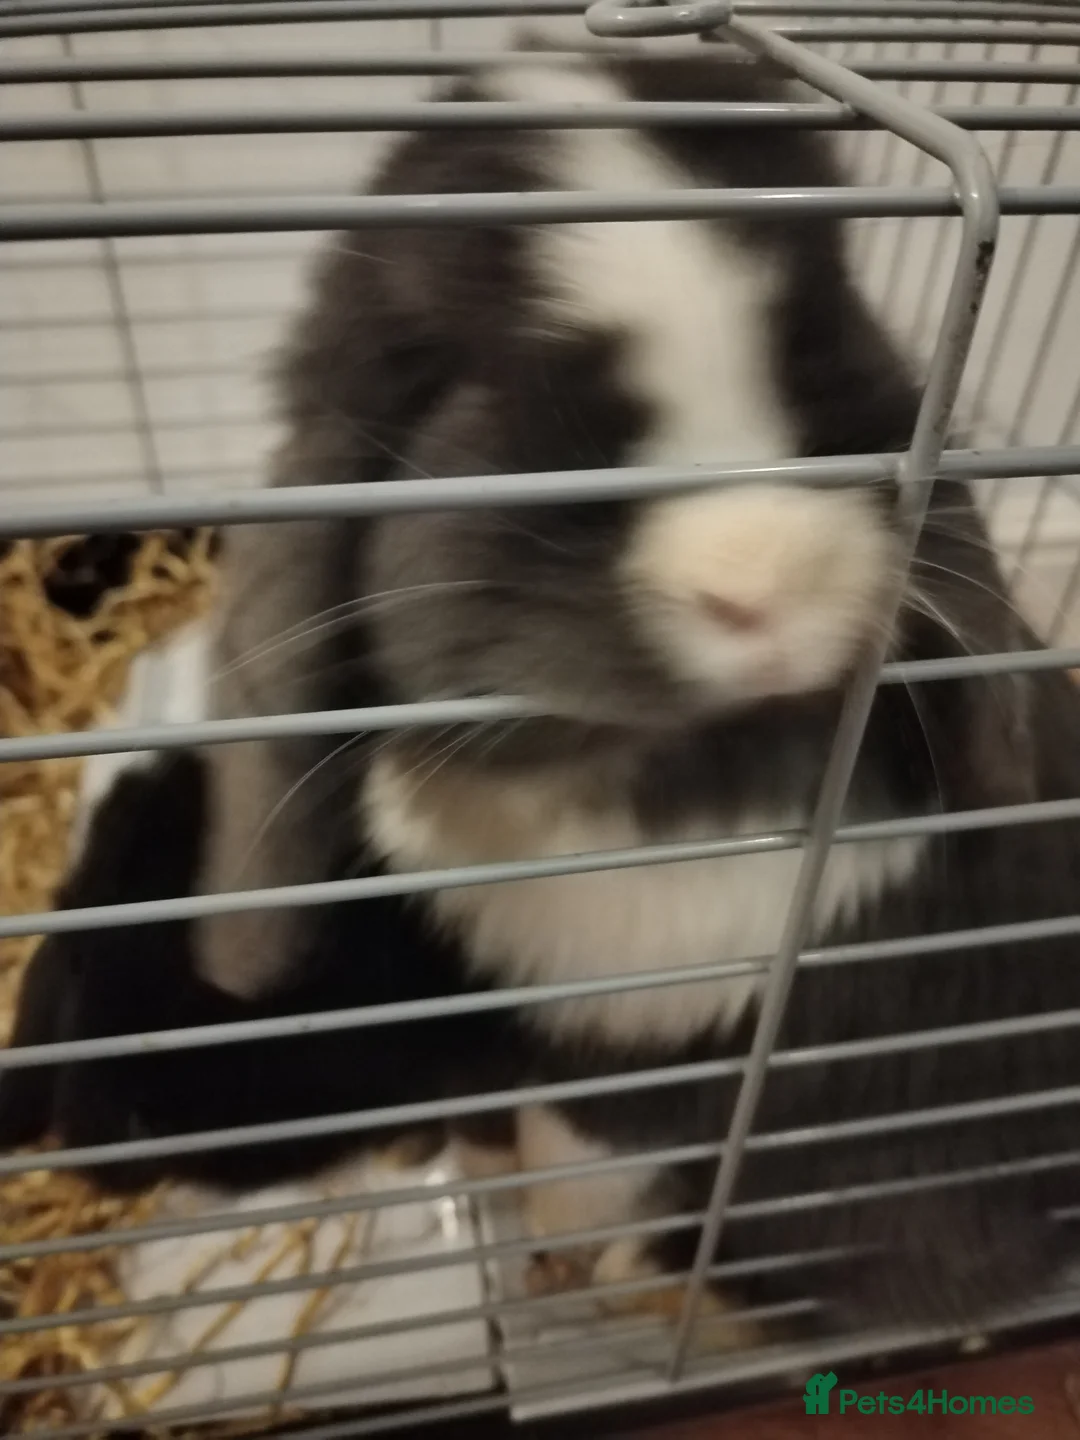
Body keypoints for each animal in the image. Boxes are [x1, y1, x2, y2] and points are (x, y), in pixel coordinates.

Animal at [5, 48, 1080, 1345]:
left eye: (818, 358)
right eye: (514, 409)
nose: (765, 581)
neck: (627, 791)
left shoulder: (645, 1071)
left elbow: (586, 1164)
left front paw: (571, 1258)